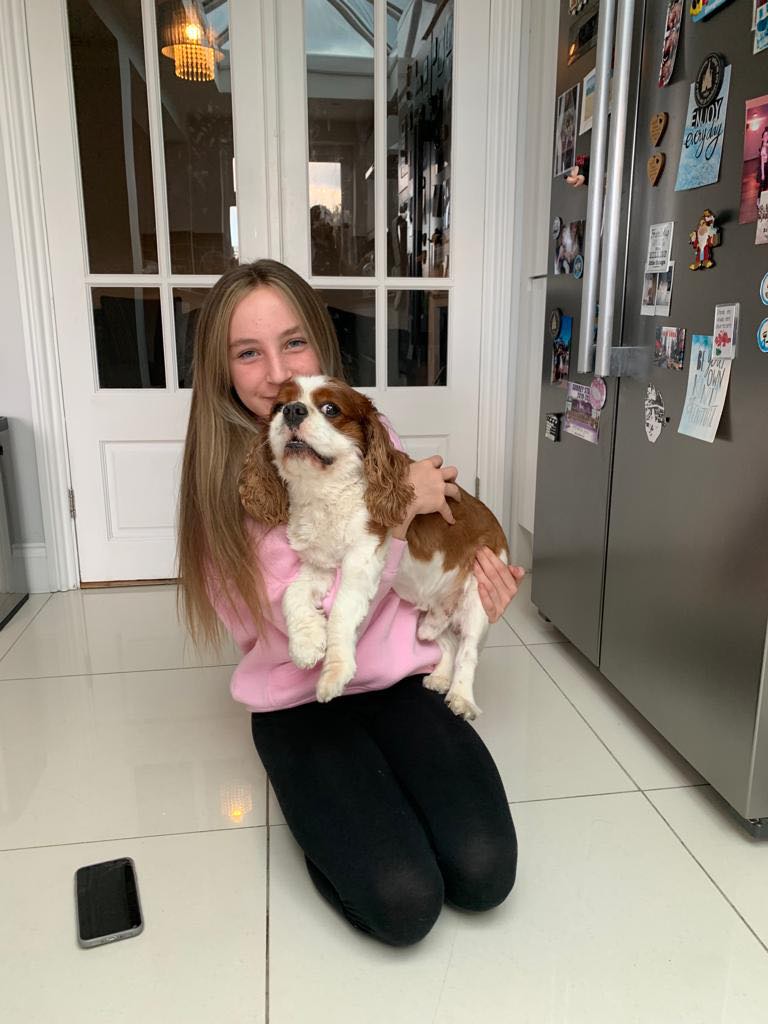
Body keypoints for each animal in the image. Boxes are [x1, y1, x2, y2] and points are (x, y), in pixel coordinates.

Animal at [237, 376, 507, 720]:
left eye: (330, 408)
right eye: (277, 407)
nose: (293, 410)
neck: (324, 491)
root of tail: (497, 527)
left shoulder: (362, 558)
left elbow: (340, 611)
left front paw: (334, 673)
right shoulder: (320, 565)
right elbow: (292, 594)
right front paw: (306, 643)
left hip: (478, 594)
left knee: (468, 651)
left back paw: (461, 696)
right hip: (432, 613)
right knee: (445, 640)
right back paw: (440, 675)